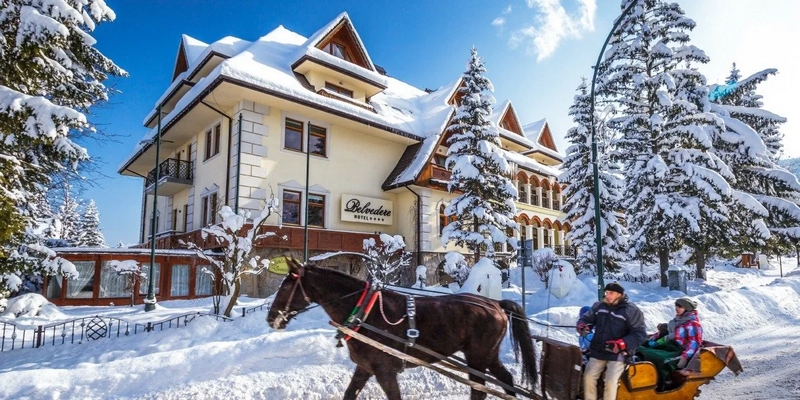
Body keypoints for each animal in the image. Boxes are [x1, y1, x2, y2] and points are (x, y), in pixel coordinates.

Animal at [268, 260, 536, 398]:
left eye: (285, 287)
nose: (271, 319)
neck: (364, 312)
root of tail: (495, 303)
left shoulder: (385, 371)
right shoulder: (365, 368)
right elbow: (349, 394)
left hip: (477, 358)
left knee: (480, 390)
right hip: (487, 355)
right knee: (506, 380)